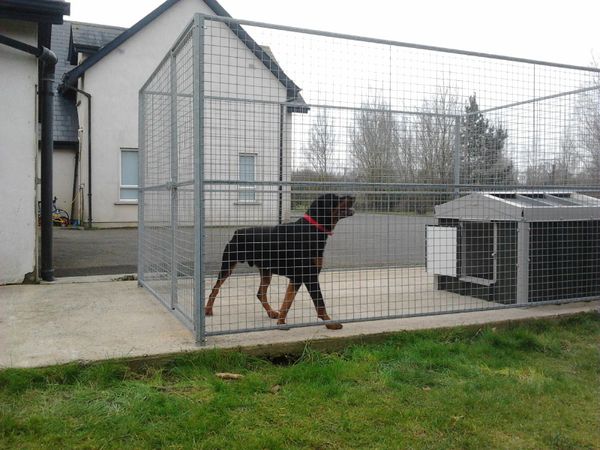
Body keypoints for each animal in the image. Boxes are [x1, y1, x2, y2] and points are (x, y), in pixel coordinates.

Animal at [206, 192, 356, 328]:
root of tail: (237, 233)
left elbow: (287, 301)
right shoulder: (310, 276)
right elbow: (320, 303)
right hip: (228, 265)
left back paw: (271, 312)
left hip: (266, 271)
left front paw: (281, 322)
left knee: (261, 294)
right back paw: (208, 309)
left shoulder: (297, 278)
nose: (353, 196)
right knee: (215, 288)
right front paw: (330, 323)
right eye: (336, 198)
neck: (312, 229)